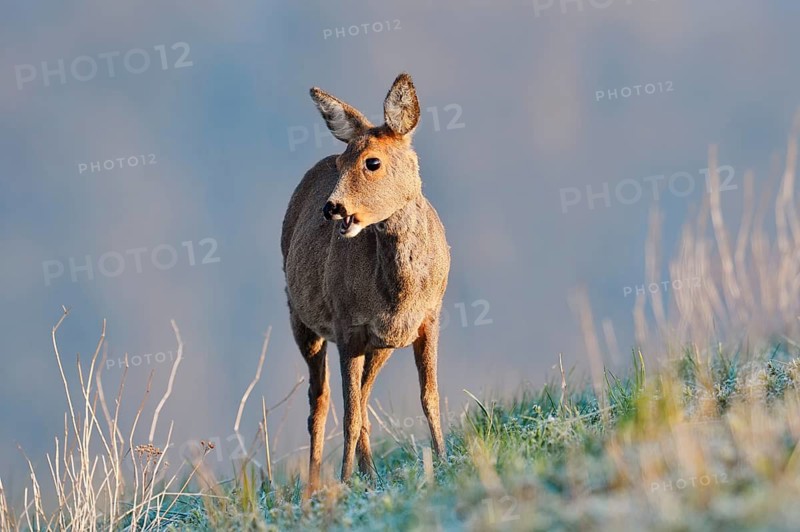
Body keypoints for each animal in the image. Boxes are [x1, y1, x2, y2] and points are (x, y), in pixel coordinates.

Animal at [281, 73, 450, 493]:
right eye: (341, 162)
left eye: (372, 162)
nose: (332, 208)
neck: (401, 293)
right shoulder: (346, 324)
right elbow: (348, 414)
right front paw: (343, 480)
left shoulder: (430, 317)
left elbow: (429, 396)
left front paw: (444, 459)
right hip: (299, 315)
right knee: (320, 400)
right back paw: (315, 486)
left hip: (381, 345)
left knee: (362, 396)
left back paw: (370, 473)